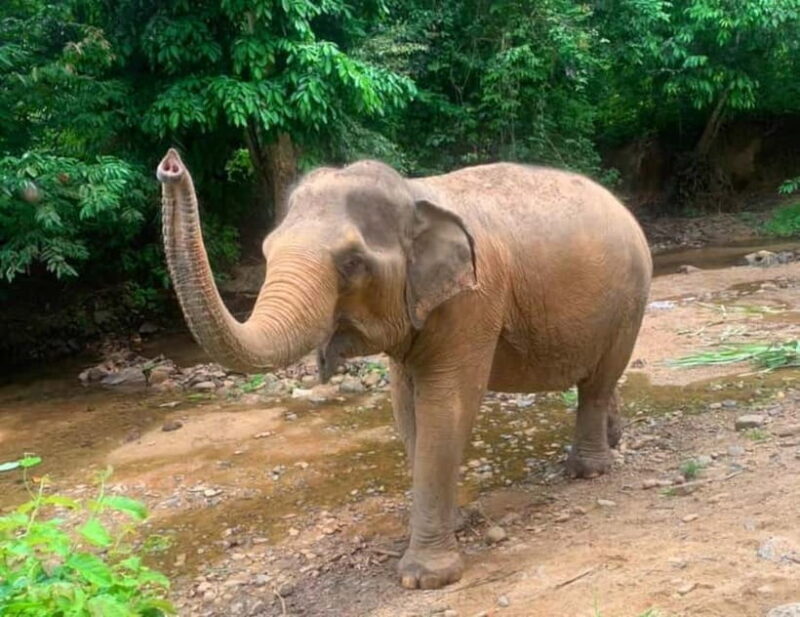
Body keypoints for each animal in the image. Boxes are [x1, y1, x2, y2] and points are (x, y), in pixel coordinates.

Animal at [157, 148, 652, 590]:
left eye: (352, 263)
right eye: (266, 250)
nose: (171, 164)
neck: (414, 192)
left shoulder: (472, 302)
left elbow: (445, 405)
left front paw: (424, 578)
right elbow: (406, 407)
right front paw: (457, 522)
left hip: (630, 298)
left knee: (600, 378)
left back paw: (588, 471)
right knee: (597, 381)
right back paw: (613, 438)